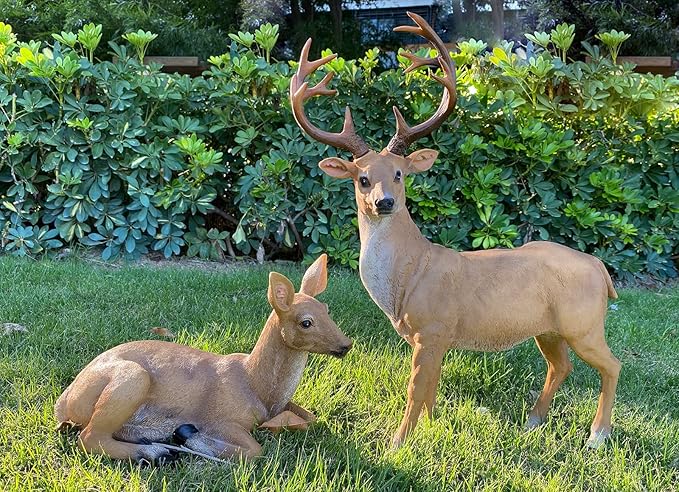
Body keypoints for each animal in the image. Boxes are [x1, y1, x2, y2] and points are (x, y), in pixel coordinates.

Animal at [54, 254, 353, 463]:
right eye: (306, 322)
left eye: (327, 309)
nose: (346, 345)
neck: (257, 387)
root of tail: (63, 403)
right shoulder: (221, 419)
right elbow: (254, 450)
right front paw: (190, 437)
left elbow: (311, 417)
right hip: (132, 378)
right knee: (89, 437)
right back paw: (155, 453)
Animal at [289, 12, 621, 450]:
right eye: (362, 178)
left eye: (399, 174)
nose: (384, 202)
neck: (409, 274)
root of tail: (601, 269)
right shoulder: (436, 336)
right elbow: (431, 390)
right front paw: (430, 431)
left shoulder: (433, 328)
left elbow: (415, 390)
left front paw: (397, 443)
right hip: (548, 328)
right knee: (560, 366)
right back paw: (533, 420)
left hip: (583, 323)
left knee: (612, 364)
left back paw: (597, 435)